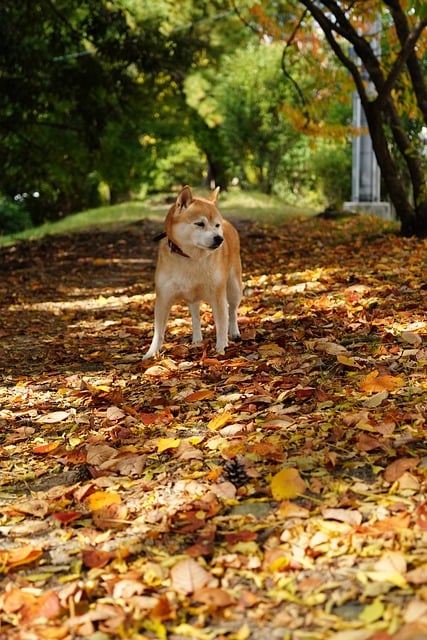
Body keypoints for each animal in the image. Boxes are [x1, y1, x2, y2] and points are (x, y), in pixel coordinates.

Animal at [144, 185, 242, 360]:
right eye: (200, 223)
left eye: (216, 225)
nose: (219, 239)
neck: (191, 258)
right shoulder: (163, 299)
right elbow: (159, 332)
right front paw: (151, 353)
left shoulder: (218, 296)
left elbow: (222, 323)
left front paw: (221, 348)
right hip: (193, 297)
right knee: (195, 317)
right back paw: (197, 339)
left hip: (234, 287)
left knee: (232, 311)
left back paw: (234, 332)